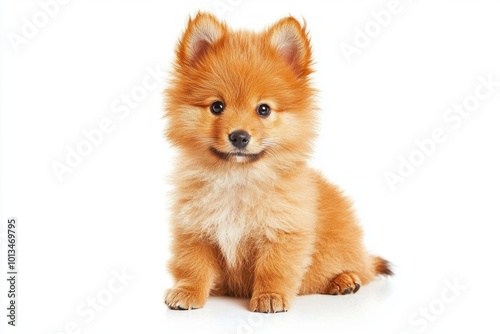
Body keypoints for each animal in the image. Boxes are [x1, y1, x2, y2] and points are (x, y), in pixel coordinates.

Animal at [164, 11, 390, 314]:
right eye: (216, 107)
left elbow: (274, 268)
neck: (238, 177)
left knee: (361, 270)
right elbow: (192, 266)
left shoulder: (284, 231)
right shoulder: (194, 228)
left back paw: (344, 280)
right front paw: (187, 291)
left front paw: (269, 296)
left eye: (264, 110)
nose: (239, 136)